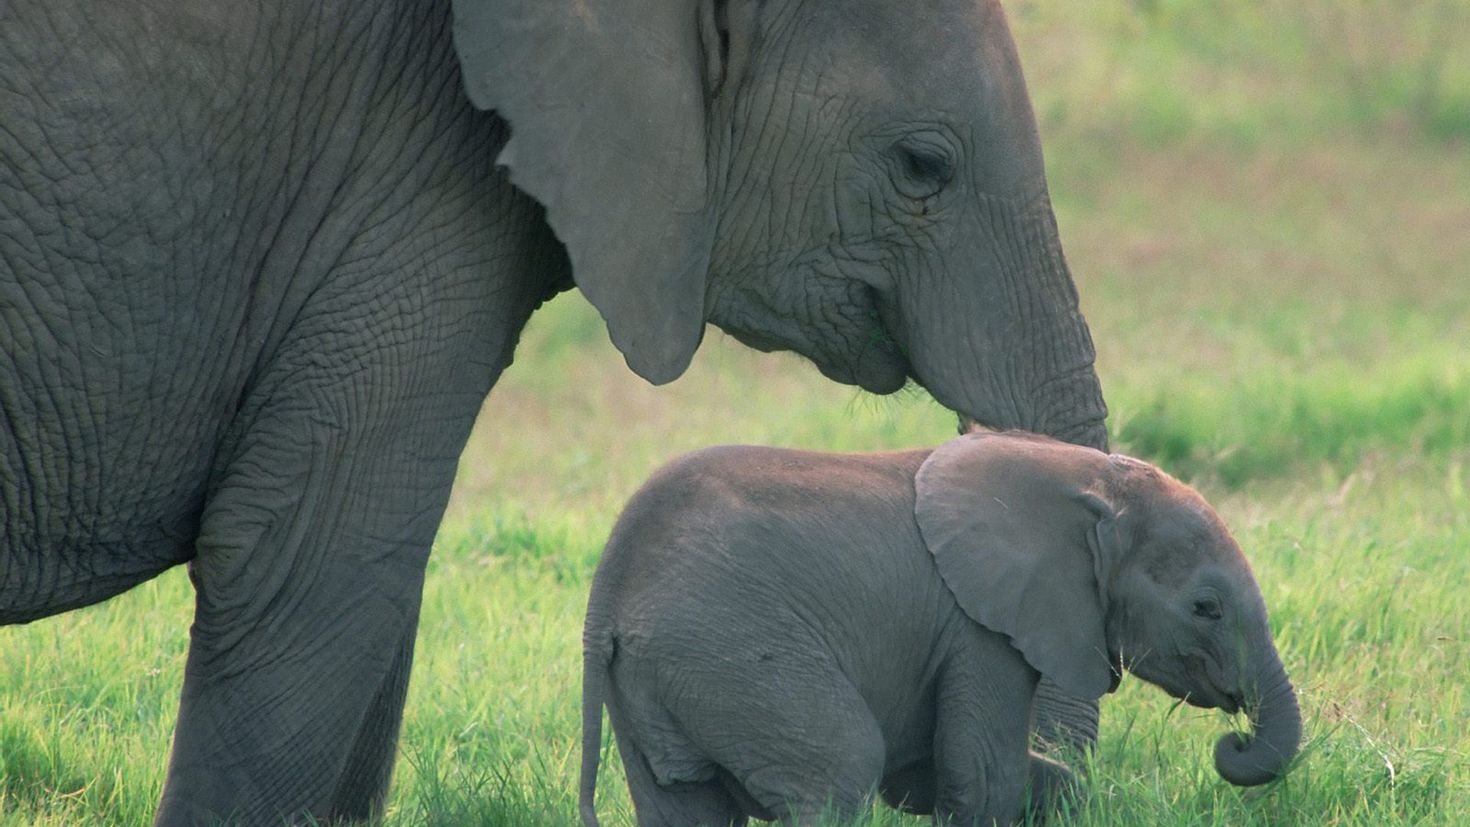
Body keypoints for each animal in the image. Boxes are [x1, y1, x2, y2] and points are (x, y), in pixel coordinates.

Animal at [579, 434, 1305, 827]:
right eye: (1206, 607)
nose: (1235, 739)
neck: (1088, 479)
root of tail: (608, 590)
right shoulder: (979, 625)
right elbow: (981, 775)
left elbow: (943, 774)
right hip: (728, 650)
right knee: (840, 768)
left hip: (663, 673)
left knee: (683, 806)